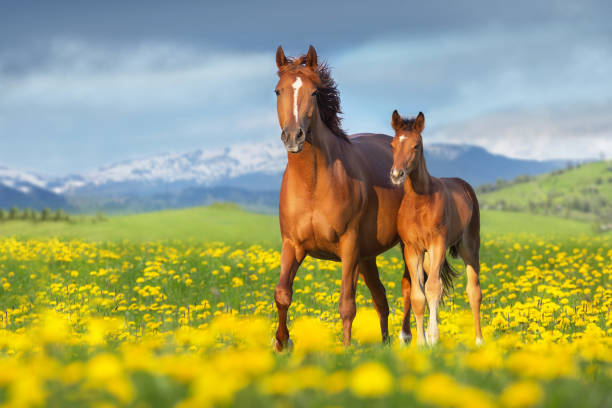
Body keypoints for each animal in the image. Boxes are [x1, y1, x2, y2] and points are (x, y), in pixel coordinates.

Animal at [274, 45, 406, 350]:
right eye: (278, 91)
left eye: (314, 92)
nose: (293, 137)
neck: (312, 184)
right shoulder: (292, 245)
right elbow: (283, 293)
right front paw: (281, 343)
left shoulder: (349, 247)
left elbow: (347, 304)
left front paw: (345, 351)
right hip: (368, 257)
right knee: (381, 298)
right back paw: (385, 345)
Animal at [390, 110, 486, 346]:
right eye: (392, 144)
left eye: (416, 145)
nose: (396, 175)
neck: (419, 203)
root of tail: (464, 185)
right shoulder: (412, 249)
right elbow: (418, 295)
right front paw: (421, 342)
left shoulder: (438, 244)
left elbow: (433, 289)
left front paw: (433, 338)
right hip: (427, 257)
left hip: (469, 247)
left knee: (473, 291)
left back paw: (479, 341)